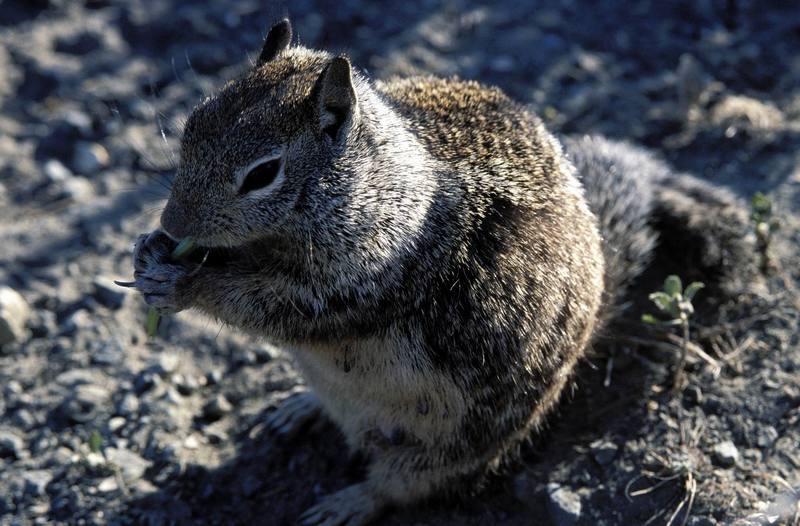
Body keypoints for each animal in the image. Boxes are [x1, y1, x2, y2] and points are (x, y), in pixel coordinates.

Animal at [128, 19, 760, 526]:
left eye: (263, 173)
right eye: (192, 123)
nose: (171, 219)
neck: (381, 185)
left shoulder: (370, 277)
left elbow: (277, 306)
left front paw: (182, 283)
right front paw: (151, 253)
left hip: (456, 444)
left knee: (403, 485)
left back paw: (348, 502)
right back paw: (298, 407)